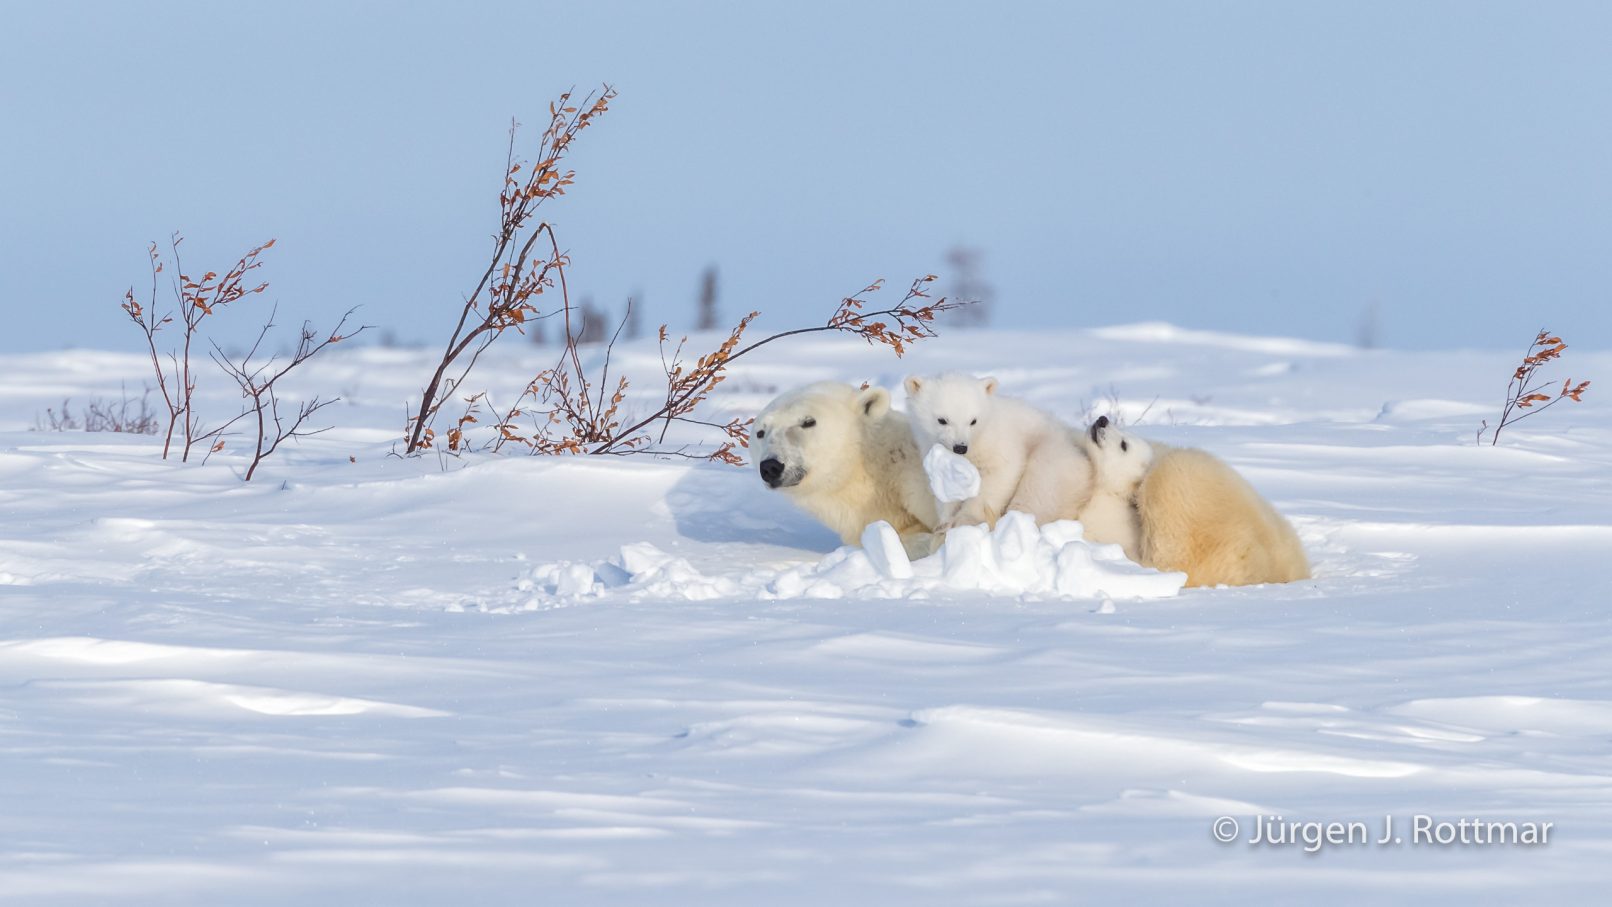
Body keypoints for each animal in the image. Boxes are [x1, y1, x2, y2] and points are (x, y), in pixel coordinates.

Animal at [902, 372, 1093, 532]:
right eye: (942, 420)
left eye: (973, 421)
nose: (960, 447)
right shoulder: (932, 448)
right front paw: (944, 523)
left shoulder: (998, 443)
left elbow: (998, 477)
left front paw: (966, 519)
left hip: (1053, 459)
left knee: (1038, 490)